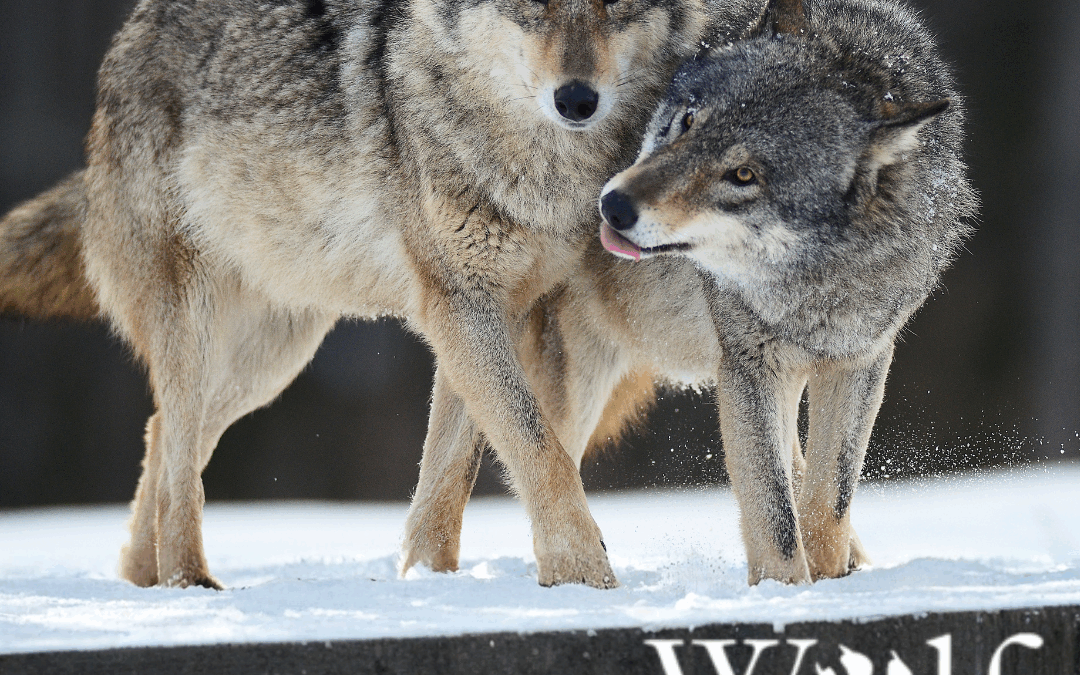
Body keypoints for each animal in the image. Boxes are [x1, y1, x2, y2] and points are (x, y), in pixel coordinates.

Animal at [0, 0, 726, 589]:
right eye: (534, 6)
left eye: (615, 6)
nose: (576, 98)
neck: (541, 165)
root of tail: (129, 32)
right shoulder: (460, 303)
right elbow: (537, 449)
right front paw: (586, 580)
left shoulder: (494, 312)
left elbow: (450, 476)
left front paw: (432, 584)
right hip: (200, 326)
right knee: (178, 457)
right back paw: (189, 582)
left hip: (269, 361)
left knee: (163, 433)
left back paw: (143, 580)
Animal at [401, 0, 976, 585]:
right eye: (688, 121)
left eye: (743, 174)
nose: (612, 206)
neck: (816, 282)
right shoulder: (748, 365)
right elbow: (775, 513)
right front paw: (785, 590)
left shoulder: (860, 359)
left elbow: (827, 500)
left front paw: (829, 579)